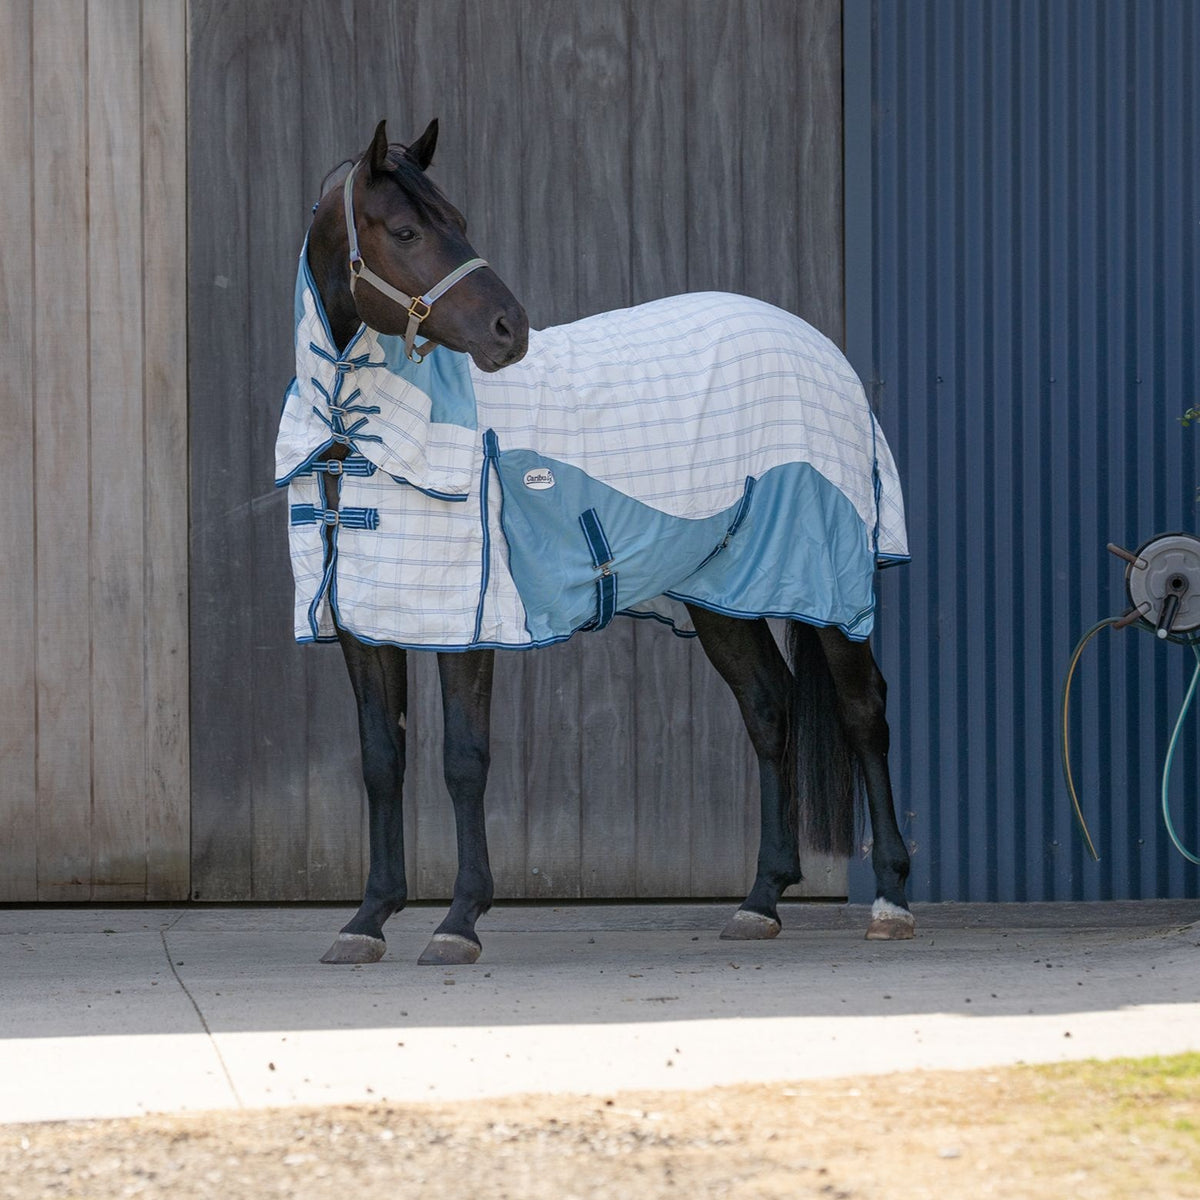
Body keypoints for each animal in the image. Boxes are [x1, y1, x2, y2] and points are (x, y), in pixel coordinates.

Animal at [278, 119, 914, 967]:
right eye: (408, 230)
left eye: (460, 221)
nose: (509, 331)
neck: (368, 438)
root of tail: (819, 349)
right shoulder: (364, 622)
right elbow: (382, 762)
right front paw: (367, 920)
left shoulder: (470, 623)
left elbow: (463, 760)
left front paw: (459, 922)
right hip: (723, 592)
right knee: (769, 709)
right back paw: (759, 901)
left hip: (828, 586)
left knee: (861, 710)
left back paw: (891, 901)